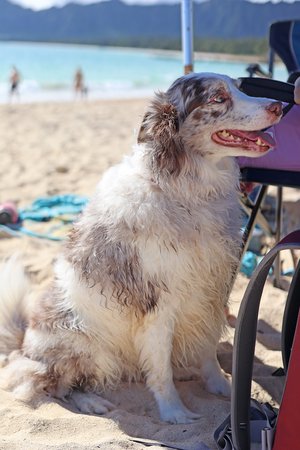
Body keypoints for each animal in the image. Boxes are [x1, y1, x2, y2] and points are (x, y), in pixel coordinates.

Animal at [0, 72, 282, 424]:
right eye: (218, 98)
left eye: (240, 88)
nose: (279, 105)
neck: (186, 190)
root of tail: (23, 346)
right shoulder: (158, 303)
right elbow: (160, 369)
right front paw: (174, 412)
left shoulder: (210, 291)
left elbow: (207, 349)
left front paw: (222, 388)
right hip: (84, 345)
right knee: (56, 384)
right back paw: (92, 402)